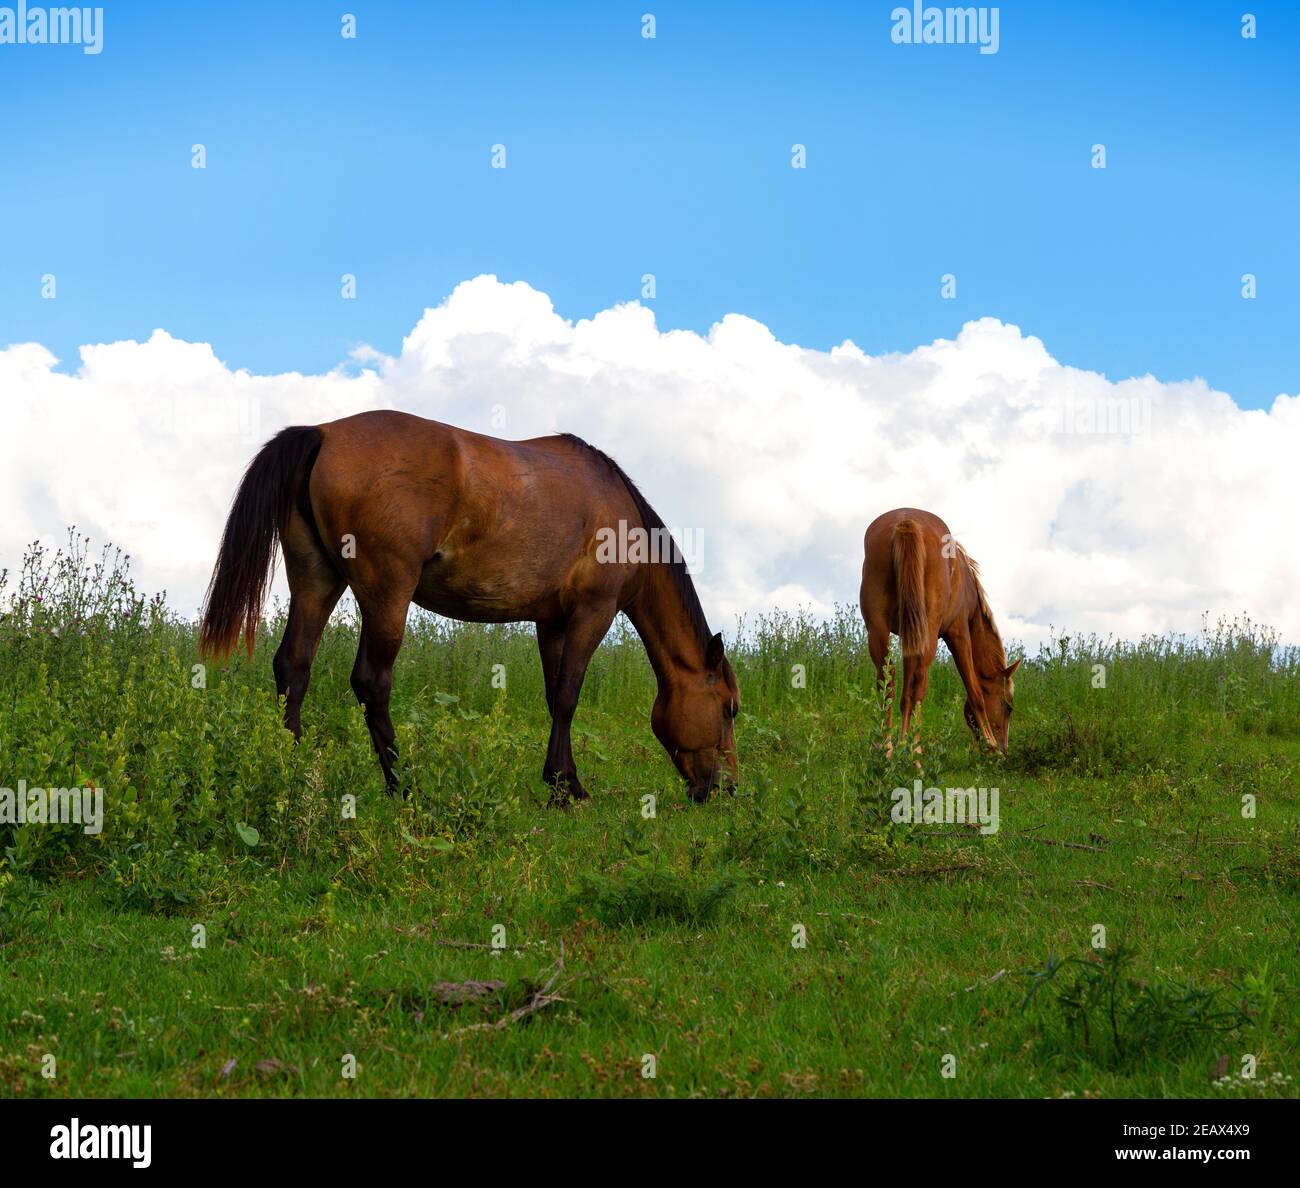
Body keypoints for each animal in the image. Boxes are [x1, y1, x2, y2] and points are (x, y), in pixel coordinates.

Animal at [196, 410, 738, 805]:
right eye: (730, 708)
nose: (727, 789)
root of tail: (324, 434)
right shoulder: (593, 611)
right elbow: (568, 696)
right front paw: (569, 789)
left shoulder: (552, 622)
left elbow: (553, 697)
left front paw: (560, 781)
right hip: (386, 593)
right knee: (371, 681)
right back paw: (401, 785)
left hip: (316, 580)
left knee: (294, 667)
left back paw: (292, 772)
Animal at [857, 506, 1019, 748]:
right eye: (1008, 706)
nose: (1004, 749)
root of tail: (906, 521)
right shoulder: (958, 634)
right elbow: (975, 691)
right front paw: (990, 743)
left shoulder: (909, 637)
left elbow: (905, 694)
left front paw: (901, 741)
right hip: (930, 633)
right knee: (920, 683)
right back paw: (915, 752)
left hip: (878, 629)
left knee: (887, 680)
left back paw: (886, 747)